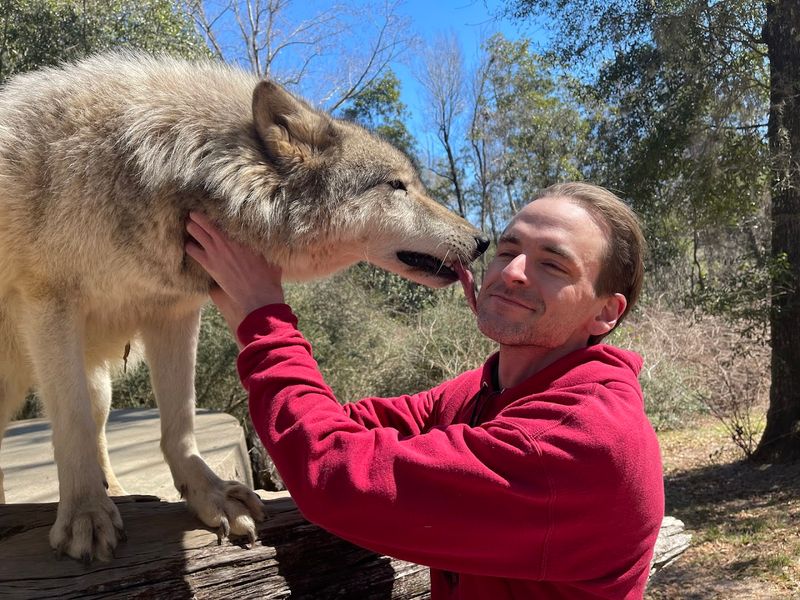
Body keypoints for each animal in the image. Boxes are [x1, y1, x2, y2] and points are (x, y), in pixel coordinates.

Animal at [0, 52, 488, 562]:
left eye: (411, 184)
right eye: (397, 186)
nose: (481, 241)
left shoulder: (173, 311)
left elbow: (180, 422)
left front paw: (210, 493)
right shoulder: (48, 302)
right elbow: (71, 424)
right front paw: (85, 513)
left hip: (97, 380)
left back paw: (114, 490)